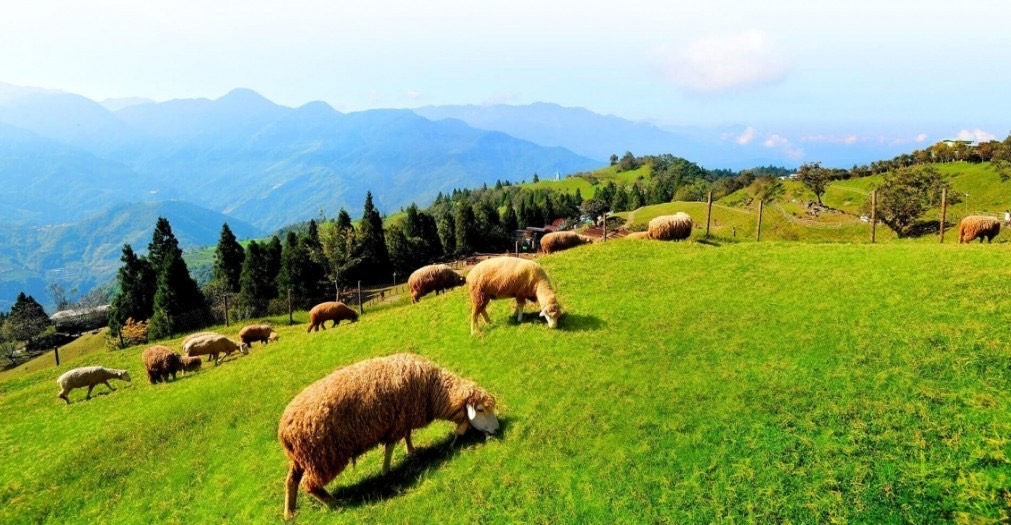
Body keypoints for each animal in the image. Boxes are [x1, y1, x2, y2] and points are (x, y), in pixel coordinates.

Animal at [279, 352, 499, 517]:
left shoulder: (404, 417)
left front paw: (411, 451)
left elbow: (407, 436)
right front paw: (386, 470)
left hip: (300, 458)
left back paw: (289, 513)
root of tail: (284, 431)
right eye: (480, 410)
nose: (497, 430)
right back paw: (335, 503)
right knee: (309, 485)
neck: (433, 389)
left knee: (291, 481)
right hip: (322, 458)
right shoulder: (396, 421)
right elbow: (390, 446)